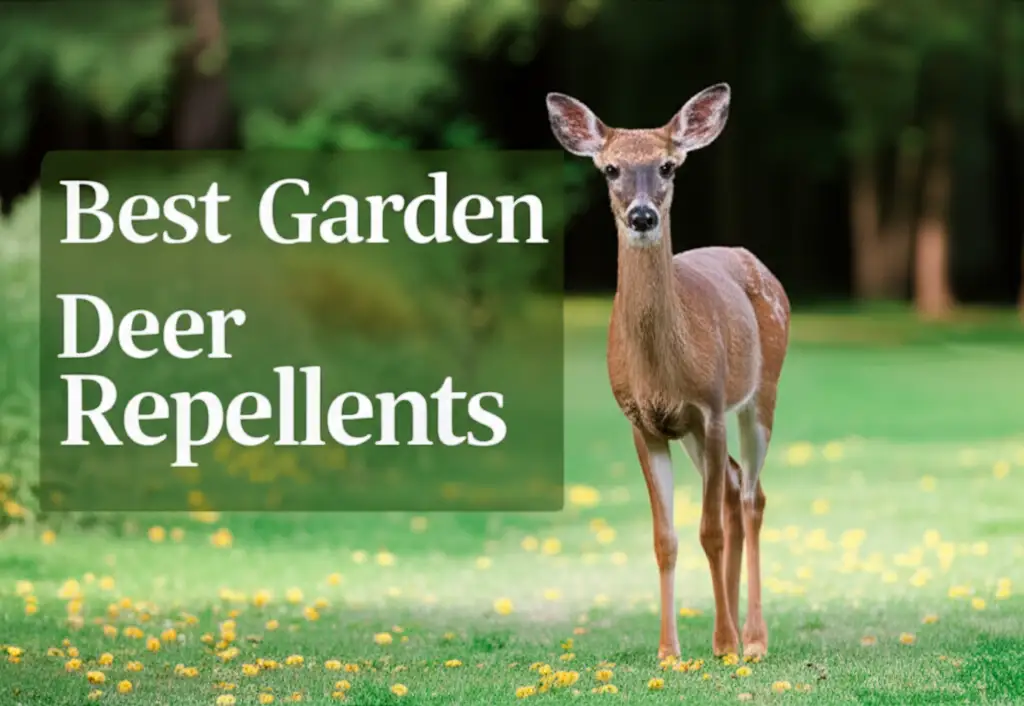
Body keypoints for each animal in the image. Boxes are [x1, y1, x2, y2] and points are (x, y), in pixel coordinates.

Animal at [545, 83, 790, 660]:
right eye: (610, 168)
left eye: (668, 166)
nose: (641, 216)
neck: (663, 369)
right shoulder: (644, 422)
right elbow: (666, 538)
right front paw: (670, 650)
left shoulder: (712, 405)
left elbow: (709, 530)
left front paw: (722, 644)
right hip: (696, 433)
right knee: (735, 486)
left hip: (761, 393)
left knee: (751, 497)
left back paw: (751, 638)